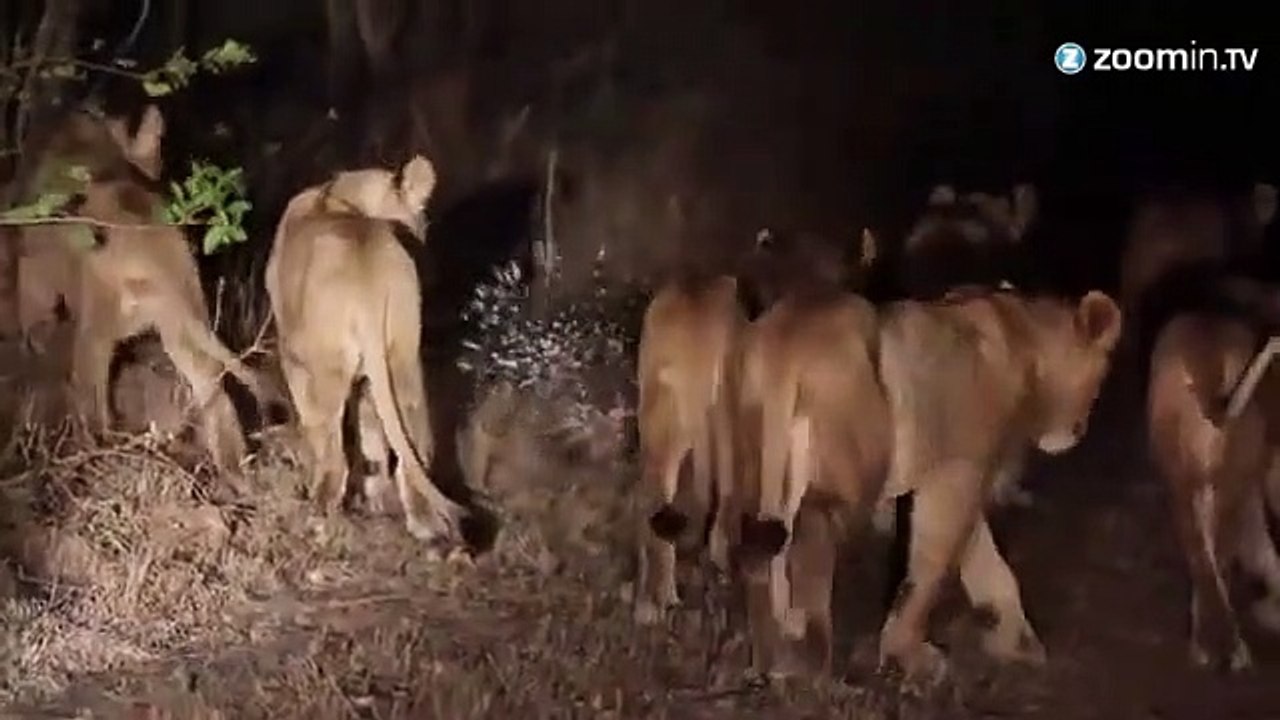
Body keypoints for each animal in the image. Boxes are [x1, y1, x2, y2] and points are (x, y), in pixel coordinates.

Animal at [265, 154, 471, 545]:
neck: (345, 197)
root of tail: (368, 278)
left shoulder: (291, 355)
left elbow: (313, 424)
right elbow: (374, 433)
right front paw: (375, 497)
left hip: (330, 366)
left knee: (335, 456)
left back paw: (317, 518)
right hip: (402, 359)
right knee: (413, 446)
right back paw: (425, 525)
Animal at [733, 288, 1122, 680]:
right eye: (1101, 379)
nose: (1077, 431)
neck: (1026, 338)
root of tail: (788, 338)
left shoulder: (964, 477)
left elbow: (985, 561)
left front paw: (1016, 640)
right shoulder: (956, 472)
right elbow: (933, 565)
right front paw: (907, 654)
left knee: (763, 545)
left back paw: (776, 648)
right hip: (856, 466)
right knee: (811, 530)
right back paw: (809, 656)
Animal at [1147, 276, 1280, 672]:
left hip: (1183, 478)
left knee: (1204, 558)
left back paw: (1209, 648)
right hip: (1226, 481)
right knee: (1217, 556)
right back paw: (1229, 651)